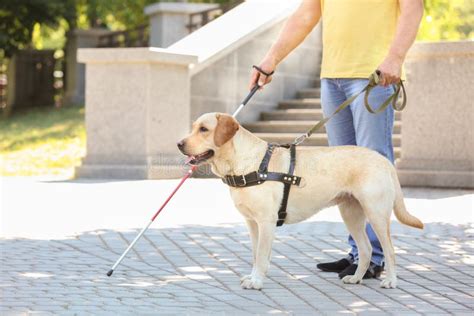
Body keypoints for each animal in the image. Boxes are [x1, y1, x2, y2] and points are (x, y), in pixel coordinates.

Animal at [178, 112, 422, 290]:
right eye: (193, 127)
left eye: (204, 129)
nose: (179, 143)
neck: (245, 164)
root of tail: (383, 159)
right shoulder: (252, 223)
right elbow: (255, 254)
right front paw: (253, 276)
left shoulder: (266, 222)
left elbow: (261, 256)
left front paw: (256, 281)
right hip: (351, 214)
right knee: (365, 249)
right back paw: (355, 278)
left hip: (376, 213)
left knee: (389, 249)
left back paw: (390, 280)